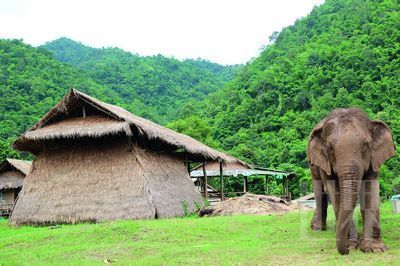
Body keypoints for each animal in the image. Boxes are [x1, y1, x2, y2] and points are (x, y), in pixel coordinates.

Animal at [308, 107, 396, 255]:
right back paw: (318, 228)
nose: (346, 251)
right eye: (330, 148)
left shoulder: (374, 159)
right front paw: (350, 245)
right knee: (319, 190)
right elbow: (335, 192)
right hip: (313, 162)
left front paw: (374, 249)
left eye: (366, 145)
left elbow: (370, 190)